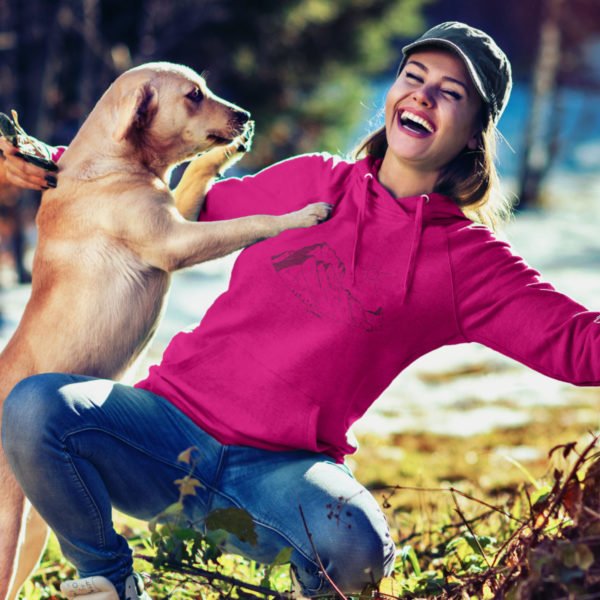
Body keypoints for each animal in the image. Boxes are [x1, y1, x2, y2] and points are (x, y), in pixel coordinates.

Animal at [0, 62, 332, 600]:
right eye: (194, 95)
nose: (245, 115)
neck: (116, 163)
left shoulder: (179, 213)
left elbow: (195, 175)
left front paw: (225, 153)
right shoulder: (176, 242)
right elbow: (250, 222)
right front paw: (300, 217)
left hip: (32, 535)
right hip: (8, 526)